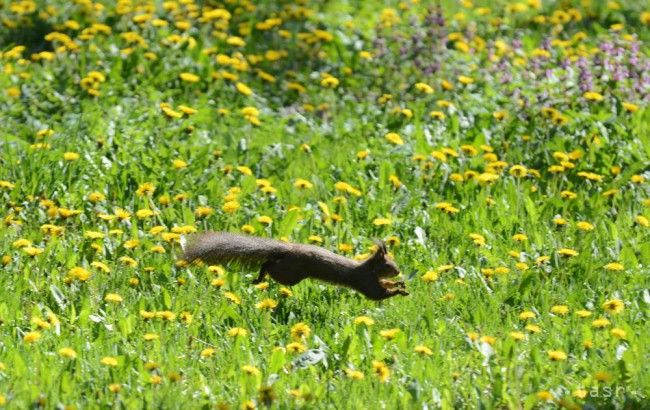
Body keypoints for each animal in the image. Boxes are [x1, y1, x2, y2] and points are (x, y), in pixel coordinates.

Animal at [180, 231, 408, 302]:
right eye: (389, 264)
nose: (398, 271)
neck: (369, 269)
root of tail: (287, 249)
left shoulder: (375, 280)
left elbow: (385, 285)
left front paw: (400, 284)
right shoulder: (366, 282)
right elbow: (379, 294)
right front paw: (400, 291)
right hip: (289, 274)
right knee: (269, 265)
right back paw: (259, 276)